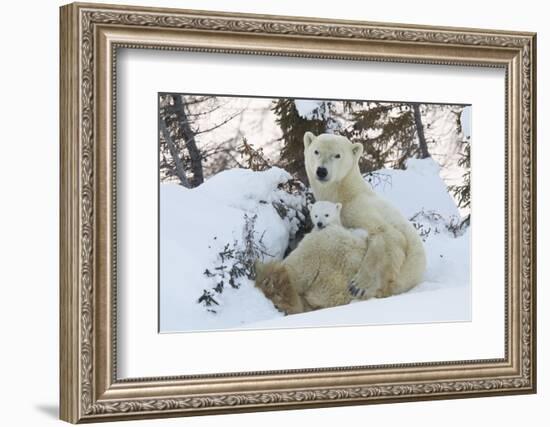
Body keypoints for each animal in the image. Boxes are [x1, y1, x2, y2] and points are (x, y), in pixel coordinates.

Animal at [306, 132, 426, 300]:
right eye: (316, 151)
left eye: (337, 155)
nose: (321, 171)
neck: (346, 193)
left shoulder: (358, 207)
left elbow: (389, 235)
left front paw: (359, 285)